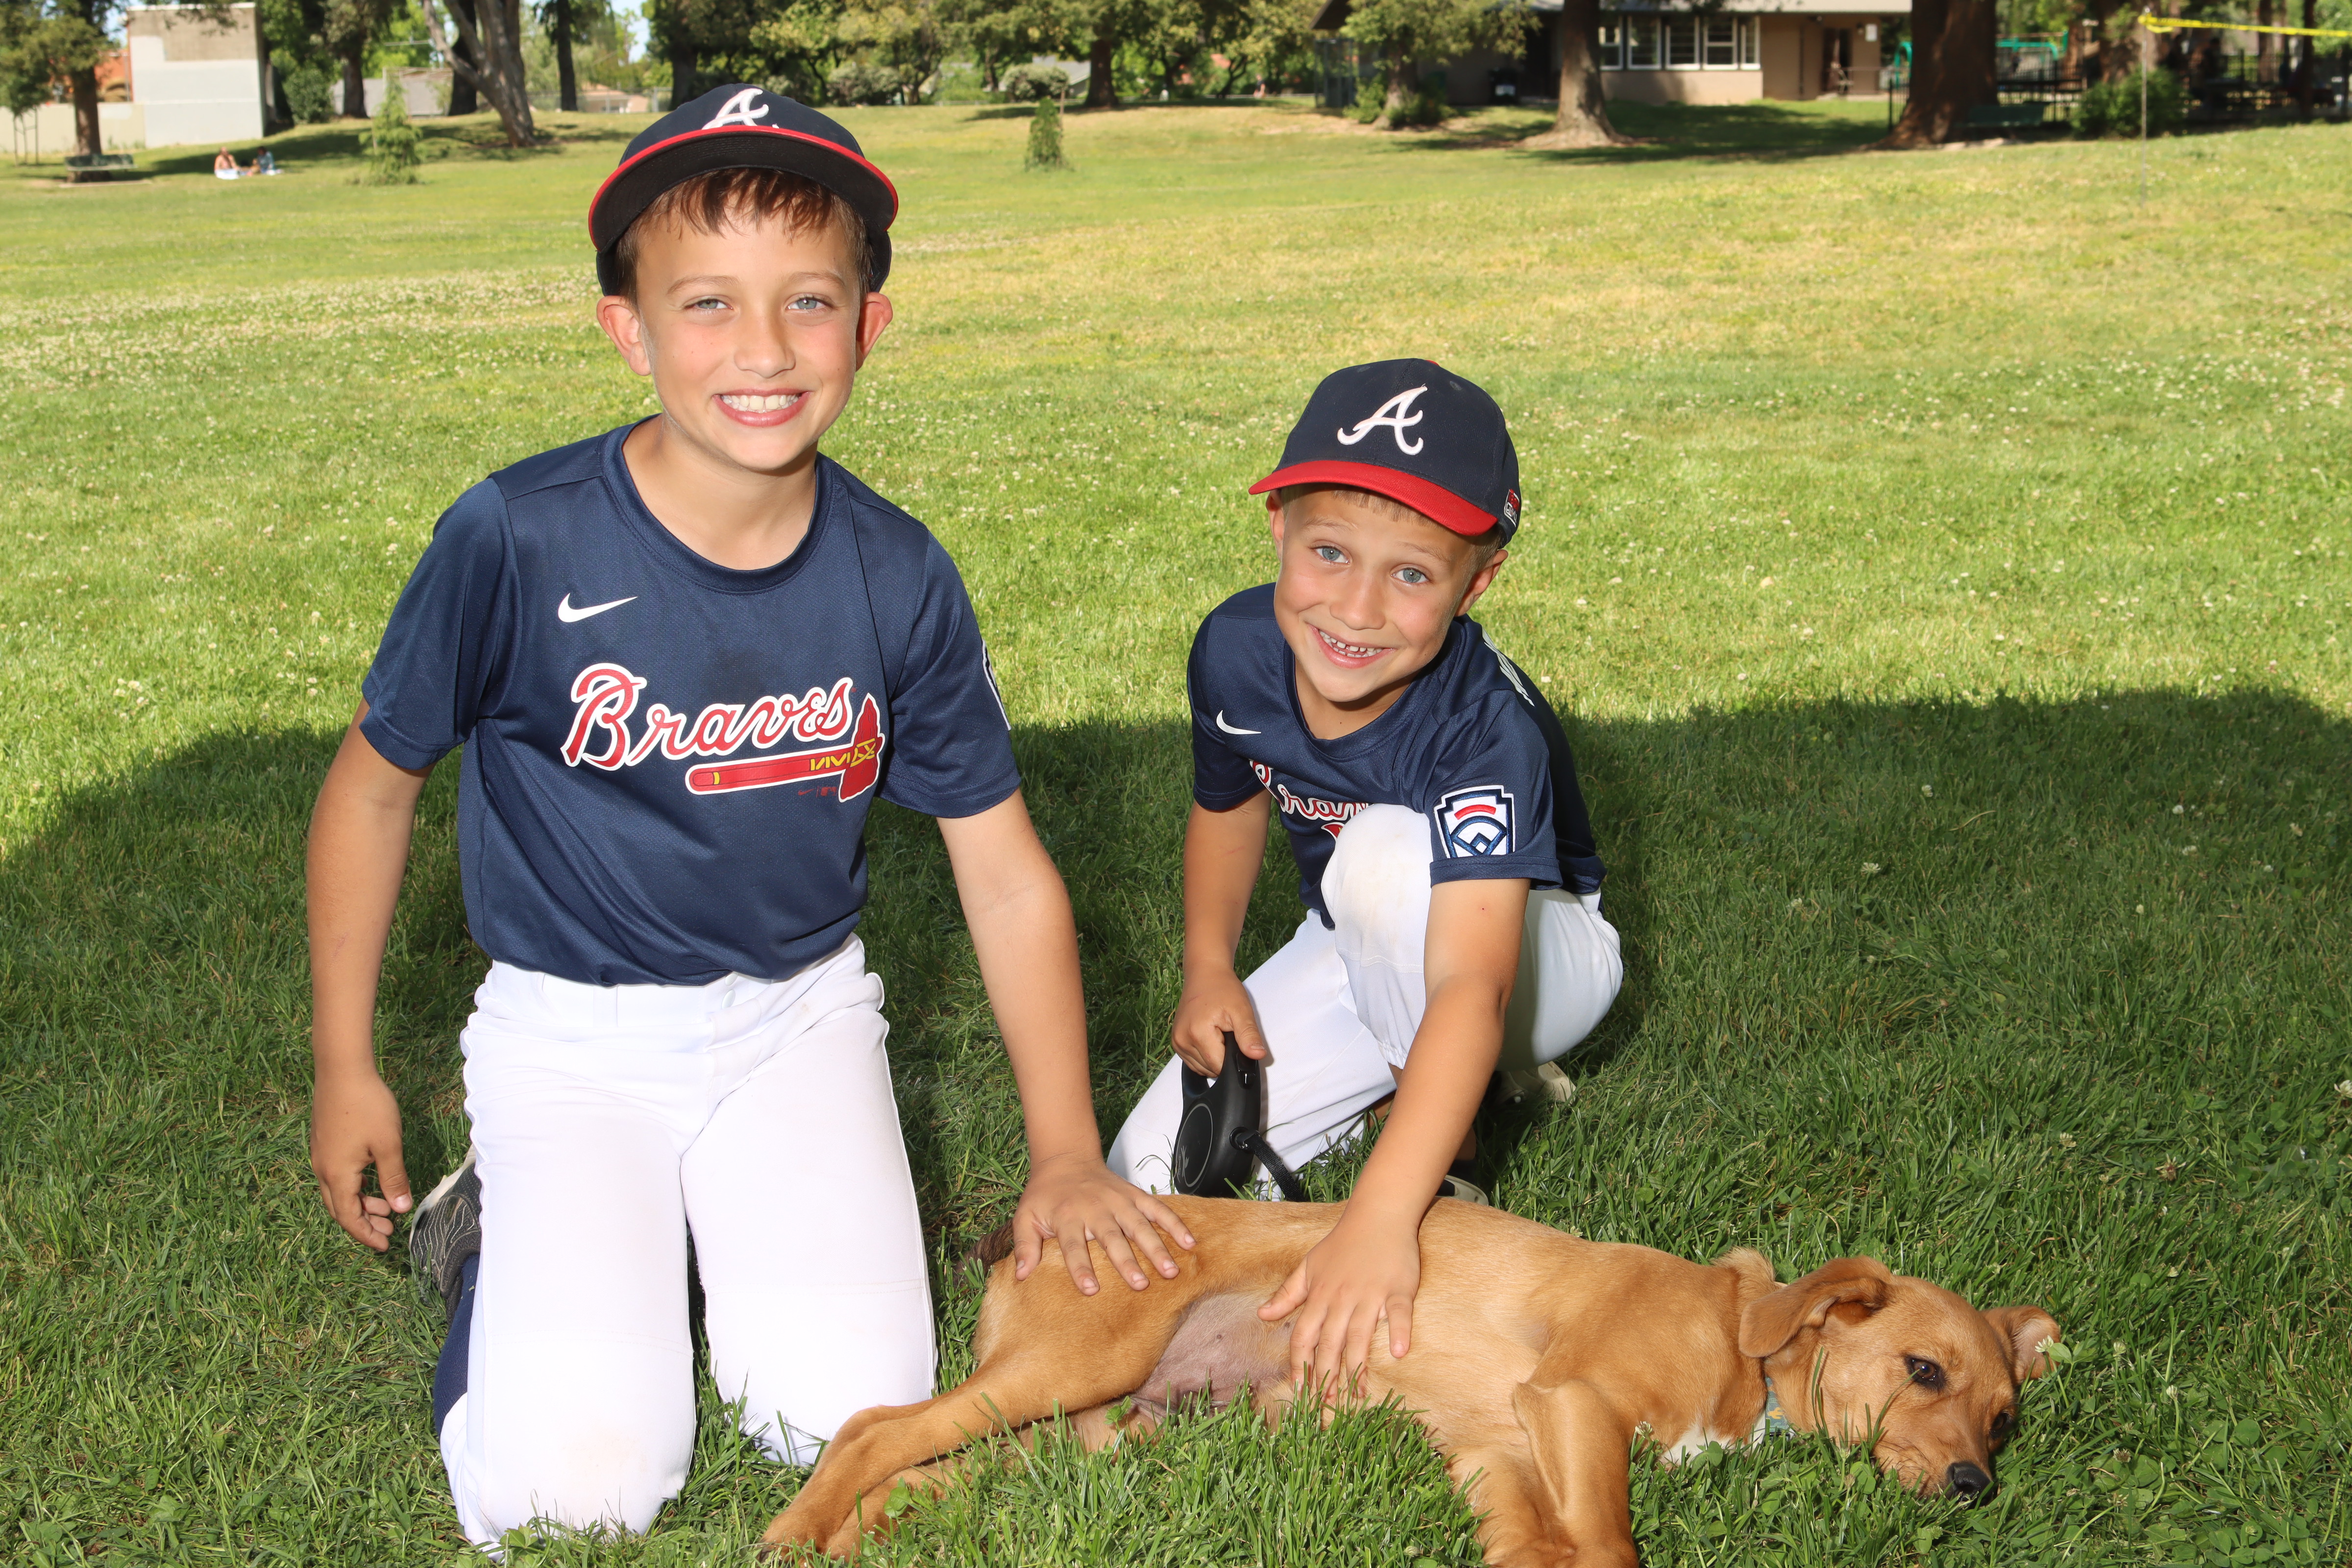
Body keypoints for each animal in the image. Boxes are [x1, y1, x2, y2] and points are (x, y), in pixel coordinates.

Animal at [764, 1196, 2059, 1566]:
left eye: (2003, 1419)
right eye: (1922, 1368)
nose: (1974, 1486)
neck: (1747, 1338)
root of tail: (1038, 1229)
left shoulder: (1498, 1449)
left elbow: (1538, 1542)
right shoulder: (1572, 1403)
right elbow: (1608, 1546)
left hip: (1079, 1432)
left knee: (918, 1470)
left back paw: (848, 1541)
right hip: (1074, 1367)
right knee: (870, 1424)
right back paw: (791, 1532)